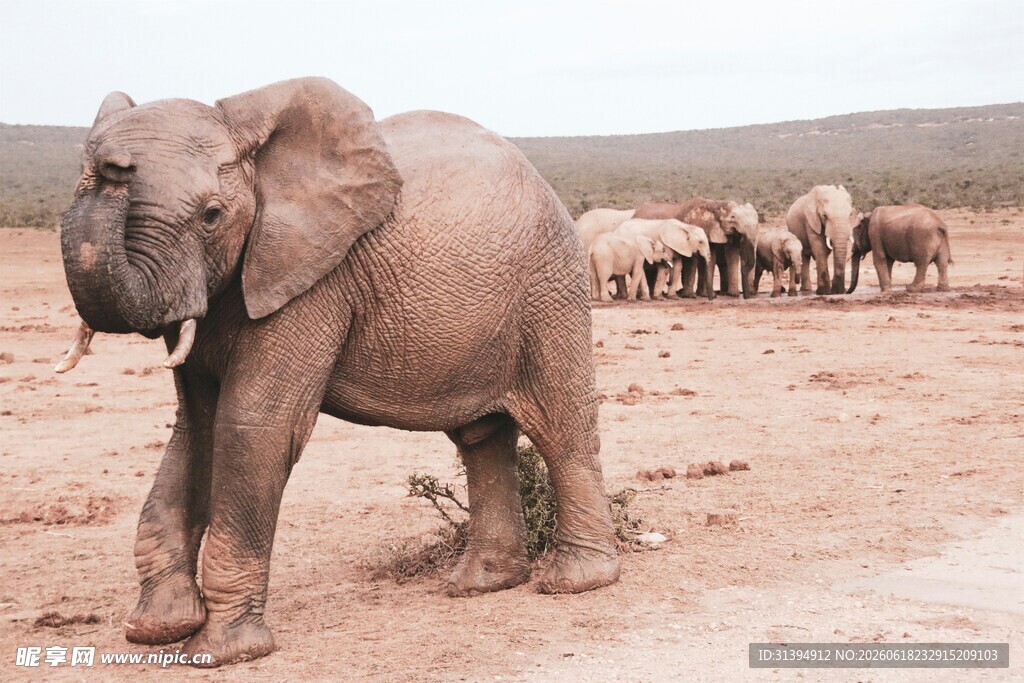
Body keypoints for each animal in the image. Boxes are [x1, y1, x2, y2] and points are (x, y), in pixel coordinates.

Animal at [55, 78, 620, 667]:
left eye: (211, 215)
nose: (111, 168)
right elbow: (196, 429)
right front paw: (156, 630)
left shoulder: (314, 279)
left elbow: (252, 427)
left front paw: (220, 652)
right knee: (480, 436)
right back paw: (480, 585)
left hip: (549, 288)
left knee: (560, 428)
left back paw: (575, 582)